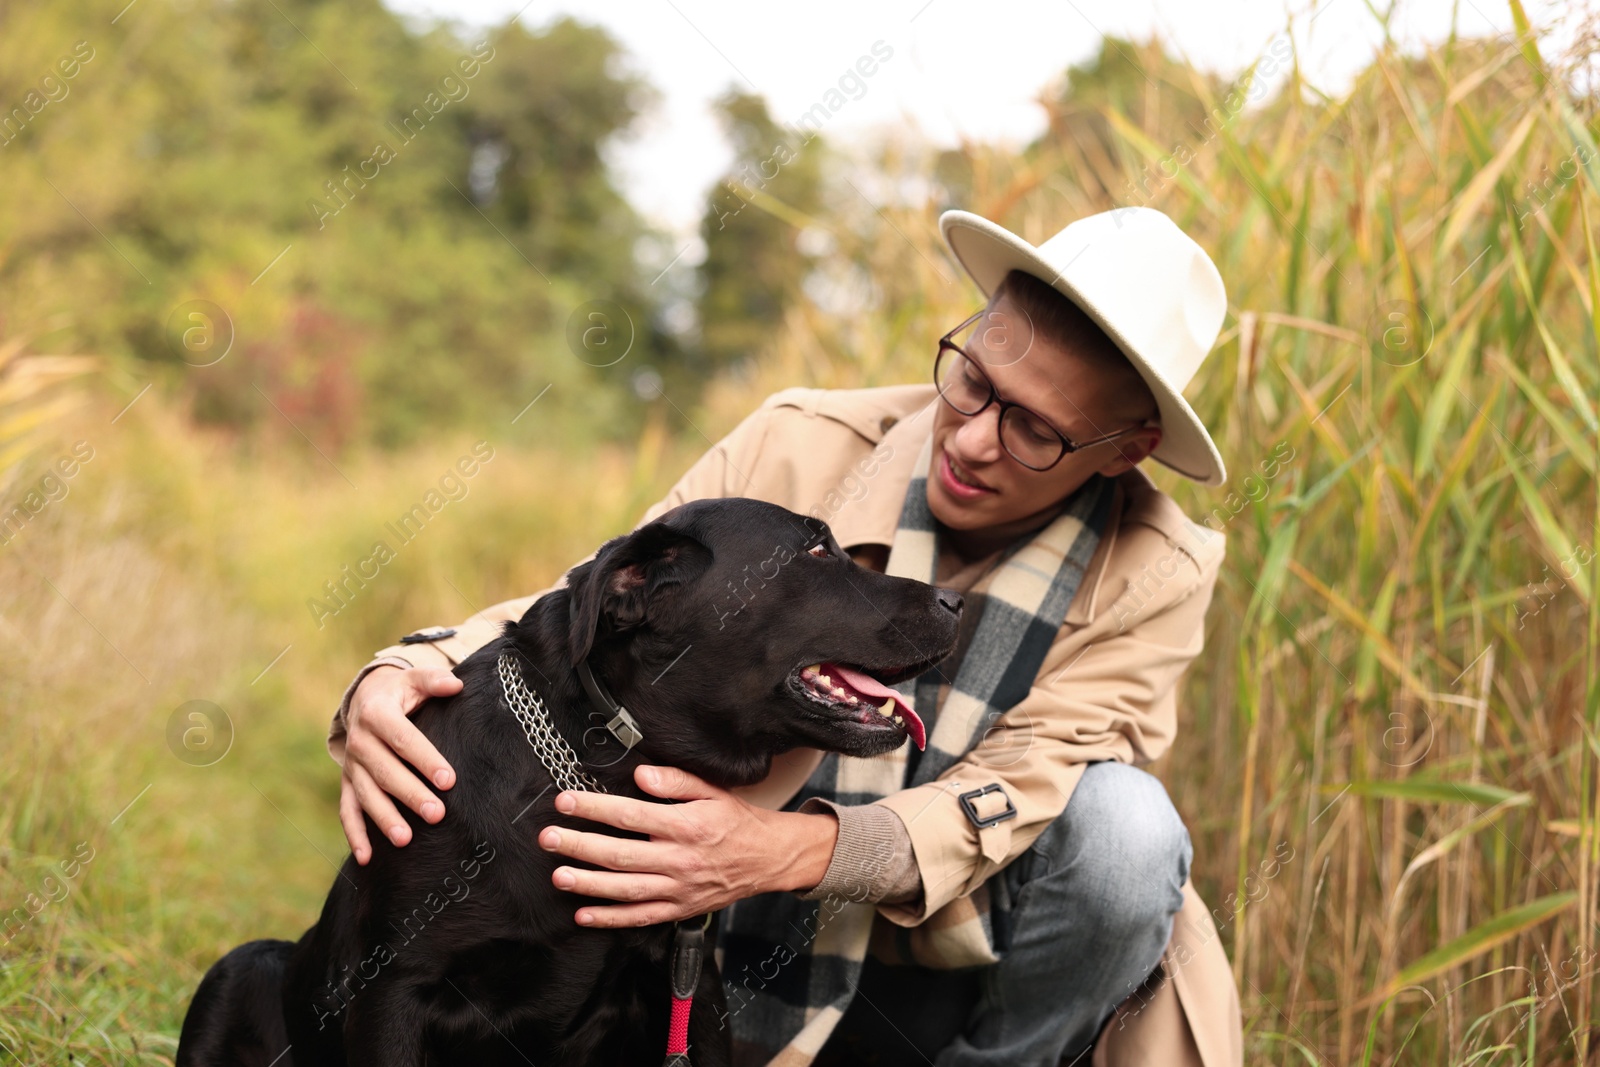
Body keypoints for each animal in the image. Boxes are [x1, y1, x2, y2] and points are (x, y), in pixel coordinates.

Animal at [175, 502, 953, 1067]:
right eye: (816, 550)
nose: (954, 600)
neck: (602, 775)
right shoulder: (390, 990)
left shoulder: (691, 990)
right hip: (243, 968)